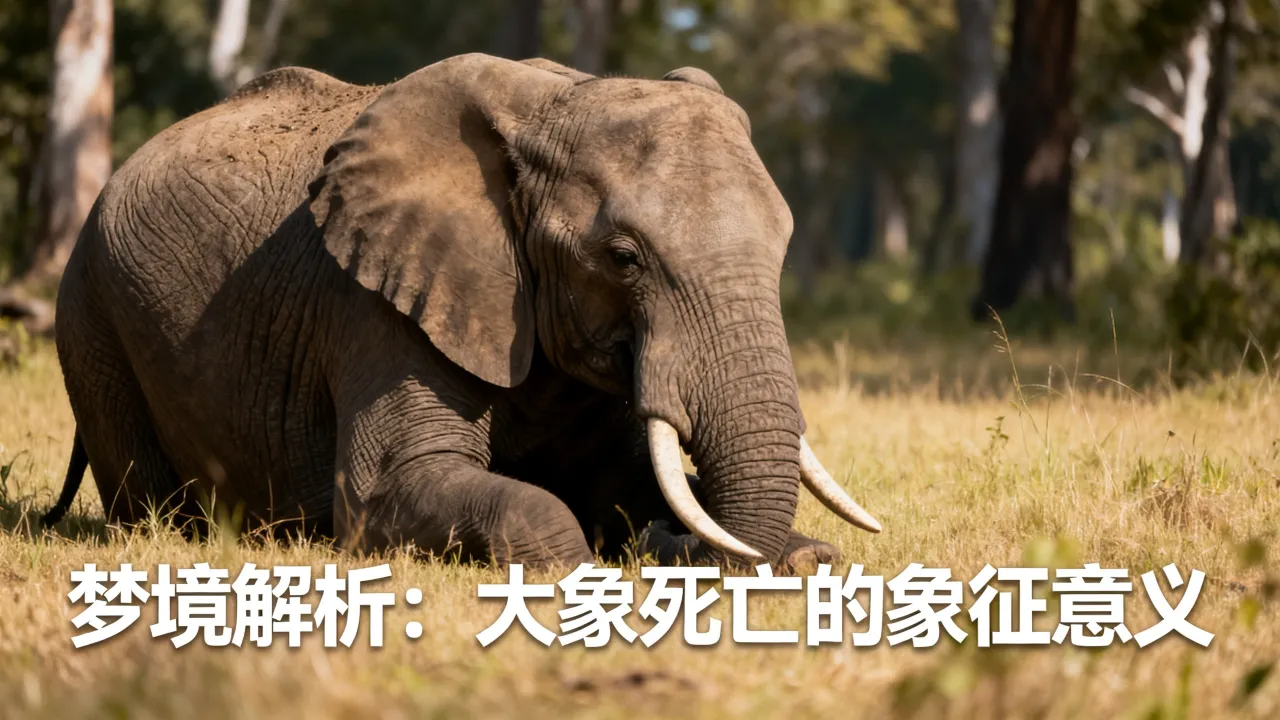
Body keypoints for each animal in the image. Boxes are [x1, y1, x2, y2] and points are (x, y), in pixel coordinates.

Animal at [43, 53, 880, 570]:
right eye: (624, 258)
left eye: (783, 244)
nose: (660, 545)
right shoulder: (379, 305)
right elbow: (391, 489)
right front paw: (584, 564)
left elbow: (625, 477)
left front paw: (809, 555)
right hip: (89, 310)